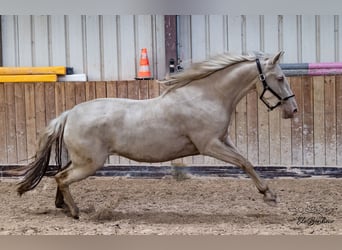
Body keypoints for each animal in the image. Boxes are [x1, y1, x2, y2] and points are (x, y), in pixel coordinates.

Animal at [7, 51, 296, 219]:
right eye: (281, 78)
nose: (292, 110)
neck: (206, 96)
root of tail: (69, 114)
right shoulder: (209, 145)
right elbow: (244, 163)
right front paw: (269, 196)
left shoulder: (224, 140)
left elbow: (247, 162)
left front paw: (269, 194)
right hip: (90, 163)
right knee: (62, 177)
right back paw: (76, 212)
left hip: (81, 159)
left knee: (59, 176)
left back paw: (63, 207)